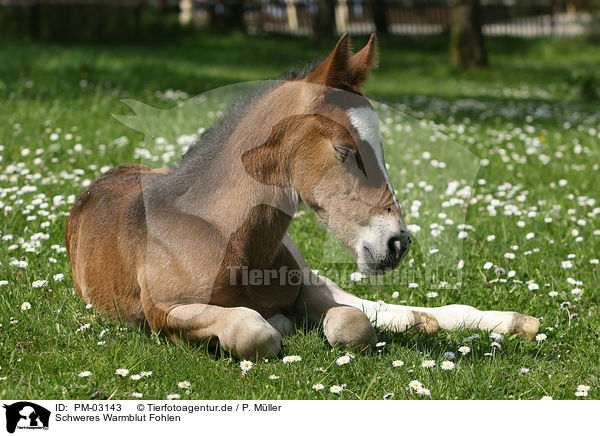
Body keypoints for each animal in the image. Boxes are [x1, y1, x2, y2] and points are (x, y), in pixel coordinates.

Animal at [65, 35, 540, 358]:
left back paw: (503, 321)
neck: (224, 236)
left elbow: (352, 320)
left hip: (309, 271)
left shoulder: (306, 290)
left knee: (373, 303)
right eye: (345, 150)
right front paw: (277, 323)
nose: (397, 243)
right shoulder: (162, 311)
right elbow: (254, 330)